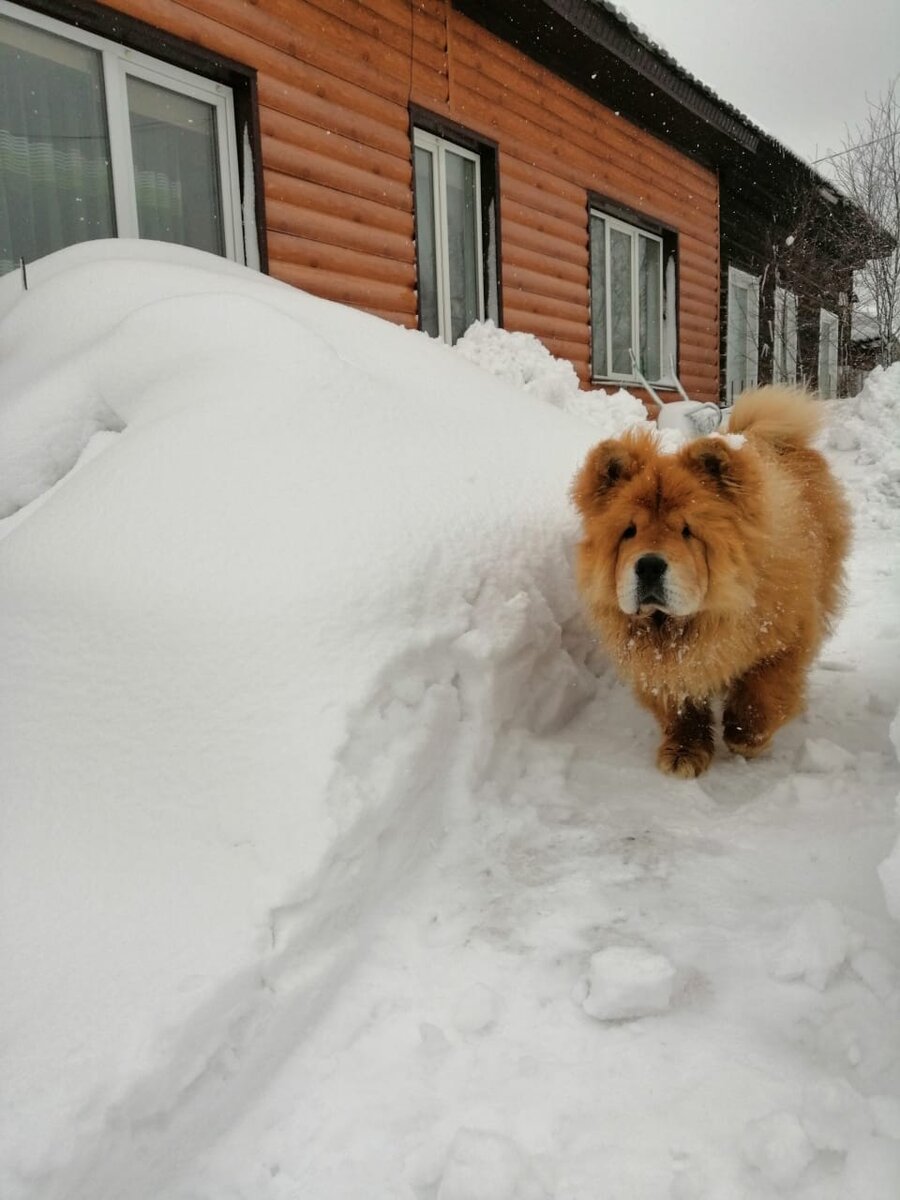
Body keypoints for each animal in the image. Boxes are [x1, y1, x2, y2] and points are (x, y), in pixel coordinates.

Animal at [573, 386, 849, 777]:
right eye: (629, 532)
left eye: (687, 531)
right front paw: (684, 751)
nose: (649, 566)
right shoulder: (662, 666)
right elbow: (680, 705)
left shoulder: (786, 638)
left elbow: (764, 689)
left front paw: (746, 736)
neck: (685, 626)